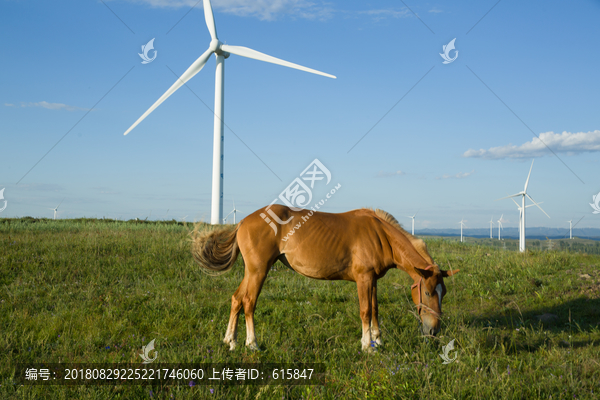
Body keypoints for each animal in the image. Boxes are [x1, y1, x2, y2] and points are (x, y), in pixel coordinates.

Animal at [192, 205, 460, 352]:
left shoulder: (373, 280)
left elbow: (375, 309)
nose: (433, 331)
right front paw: (367, 346)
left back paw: (231, 341)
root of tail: (242, 222)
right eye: (428, 292)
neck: (380, 234)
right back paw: (252, 344)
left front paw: (378, 341)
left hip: (251, 272)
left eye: (443, 293)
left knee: (236, 299)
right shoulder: (363, 279)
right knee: (248, 302)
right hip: (258, 271)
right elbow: (365, 311)